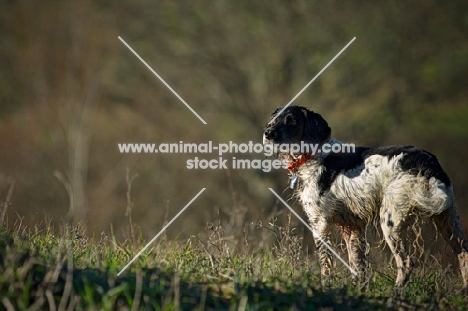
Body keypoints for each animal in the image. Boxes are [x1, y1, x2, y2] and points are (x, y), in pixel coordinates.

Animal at [264, 105, 468, 290]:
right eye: (274, 119)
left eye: (291, 121)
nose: (268, 133)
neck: (312, 155)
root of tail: (429, 163)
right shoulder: (352, 228)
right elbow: (358, 266)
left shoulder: (319, 223)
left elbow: (326, 265)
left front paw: (325, 287)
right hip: (448, 219)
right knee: (464, 254)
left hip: (390, 221)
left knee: (406, 262)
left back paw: (395, 293)